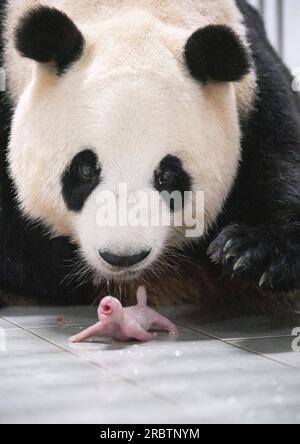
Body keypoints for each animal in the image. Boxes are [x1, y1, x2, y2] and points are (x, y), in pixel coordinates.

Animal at [0, 0, 298, 308]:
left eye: (167, 175)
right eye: (85, 169)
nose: (123, 256)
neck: (128, 10)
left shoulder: (254, 85)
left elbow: (280, 156)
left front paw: (252, 253)